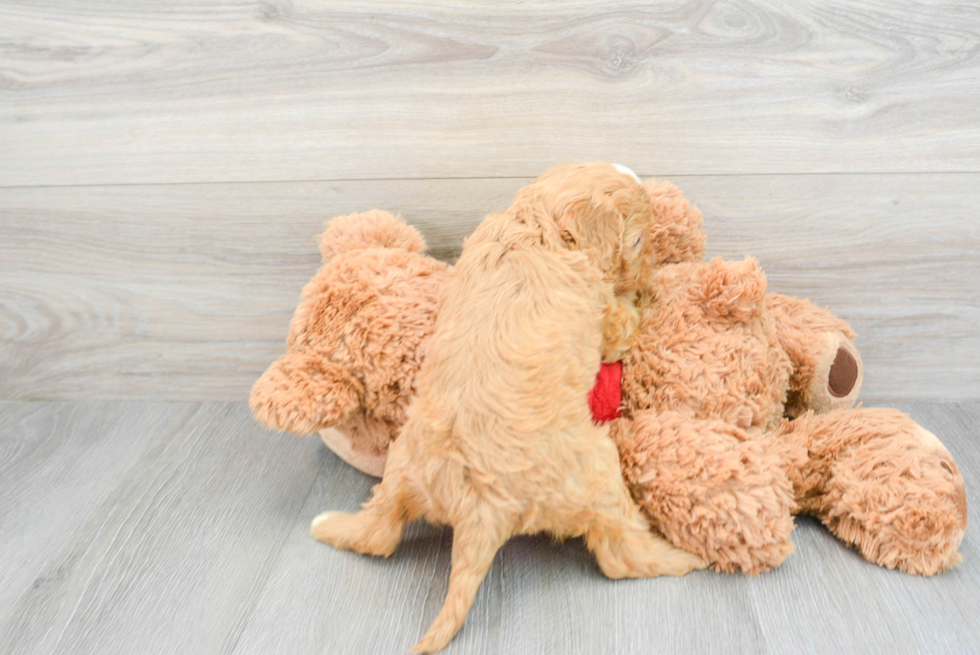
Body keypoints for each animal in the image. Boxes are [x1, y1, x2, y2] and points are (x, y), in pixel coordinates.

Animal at [310, 163, 700, 652]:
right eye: (637, 240)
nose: (648, 275)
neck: (536, 224)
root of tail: (478, 510)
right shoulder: (605, 319)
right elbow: (621, 321)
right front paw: (640, 296)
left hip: (402, 467)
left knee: (379, 533)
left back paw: (330, 524)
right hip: (598, 474)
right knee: (620, 555)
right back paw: (681, 557)